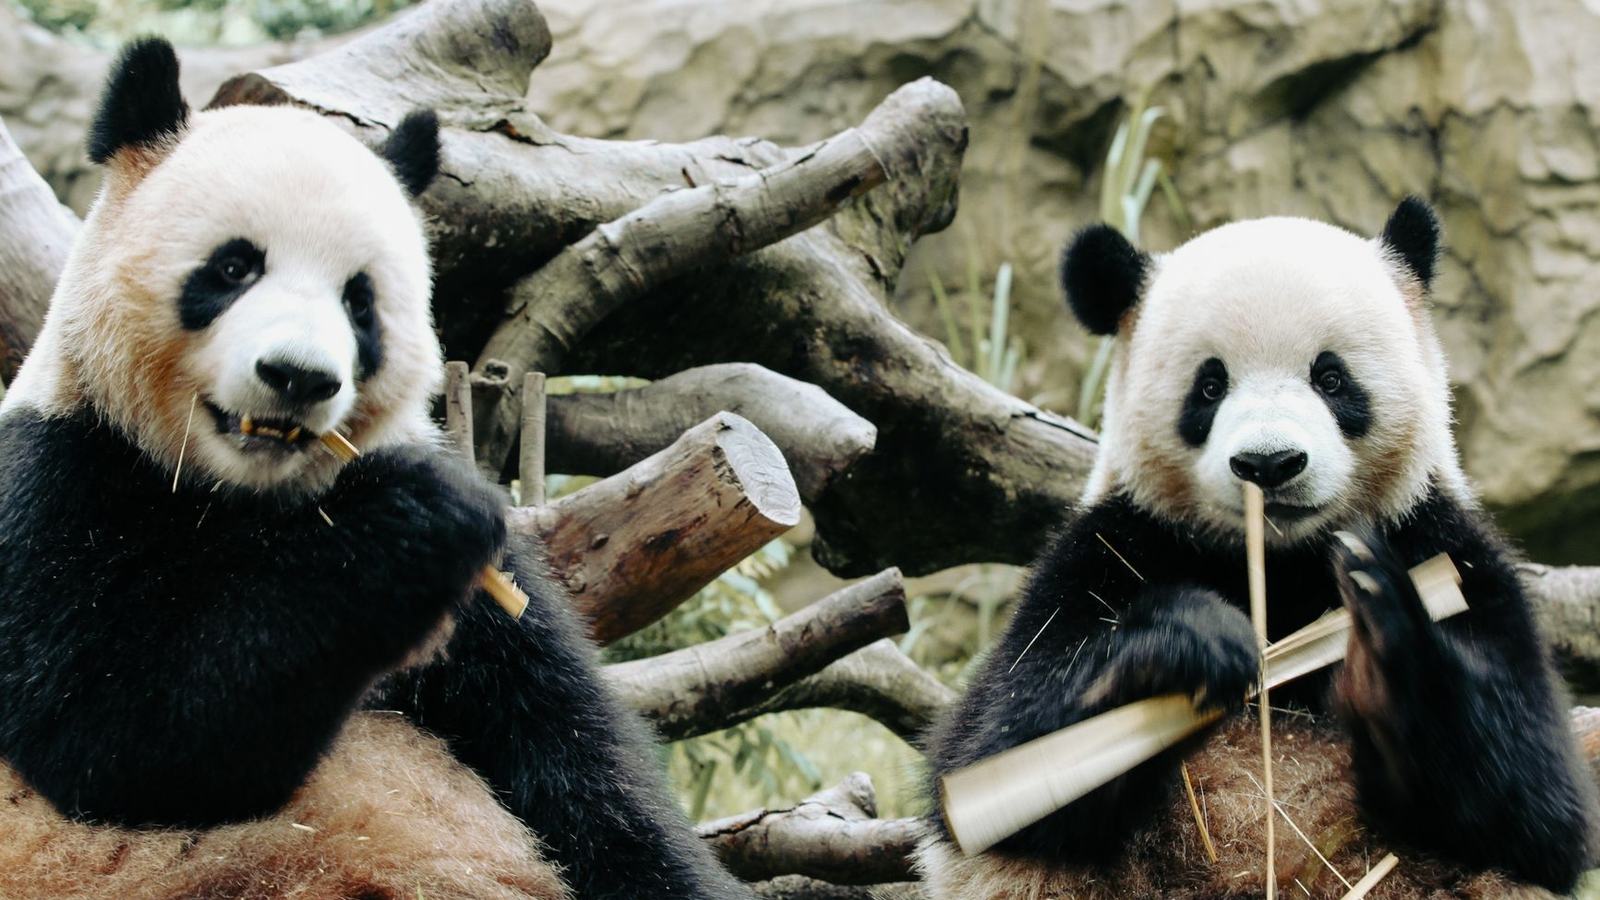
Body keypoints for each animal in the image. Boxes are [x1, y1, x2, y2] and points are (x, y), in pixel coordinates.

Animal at [0, 38, 751, 900]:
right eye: (233, 269)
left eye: (359, 301)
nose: (298, 377)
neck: (244, 497)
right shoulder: (55, 479)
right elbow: (110, 739)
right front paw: (413, 524)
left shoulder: (488, 612)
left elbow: (574, 765)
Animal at [919, 199, 1598, 897]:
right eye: (1209, 386)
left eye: (1331, 377)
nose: (1269, 464)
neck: (1280, 566)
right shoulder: (1107, 549)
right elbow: (996, 742)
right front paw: (1189, 641)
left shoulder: (1448, 549)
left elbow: (1539, 805)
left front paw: (1383, 639)